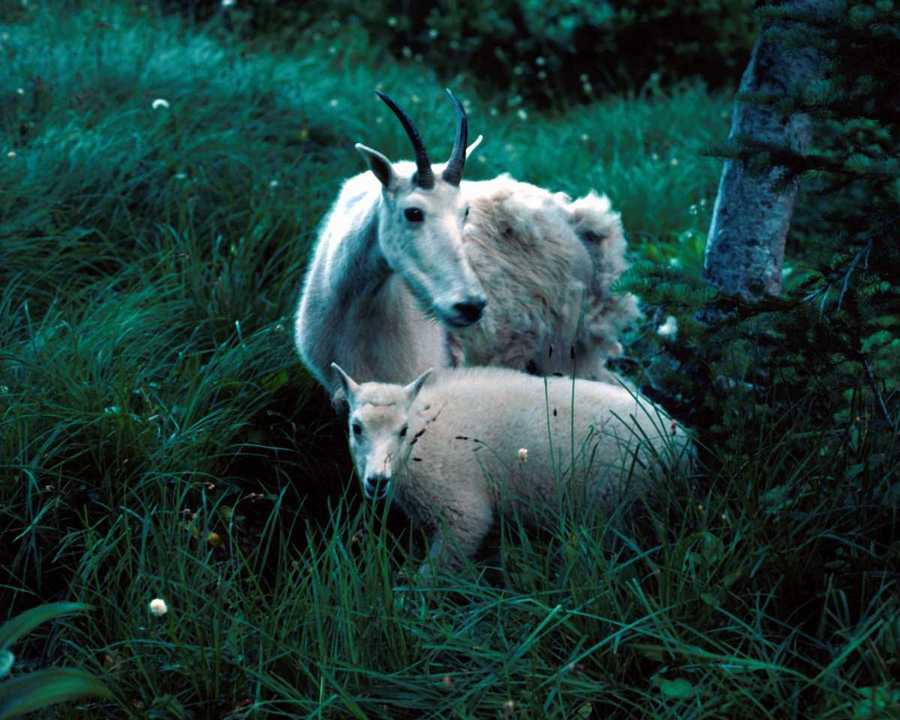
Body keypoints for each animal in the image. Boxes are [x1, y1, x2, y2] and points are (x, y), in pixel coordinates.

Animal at [296, 88, 640, 404]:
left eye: (465, 212)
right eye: (413, 212)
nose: (471, 306)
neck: (355, 305)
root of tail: (576, 219)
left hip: (564, 351)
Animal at [330, 366, 688, 572]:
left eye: (403, 430)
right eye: (356, 427)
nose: (377, 481)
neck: (424, 435)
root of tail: (682, 441)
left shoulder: (463, 516)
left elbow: (431, 576)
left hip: (616, 506)